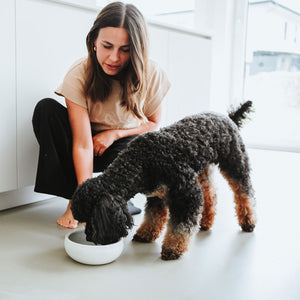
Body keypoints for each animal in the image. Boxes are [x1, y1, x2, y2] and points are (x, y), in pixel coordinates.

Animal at [72, 101, 255, 260]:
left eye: (90, 219)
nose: (88, 238)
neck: (140, 161)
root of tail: (227, 117)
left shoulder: (187, 193)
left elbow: (180, 225)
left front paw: (173, 248)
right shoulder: (157, 195)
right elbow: (153, 217)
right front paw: (145, 234)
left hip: (235, 163)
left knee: (244, 192)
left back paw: (248, 221)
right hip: (203, 170)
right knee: (211, 194)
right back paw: (206, 221)